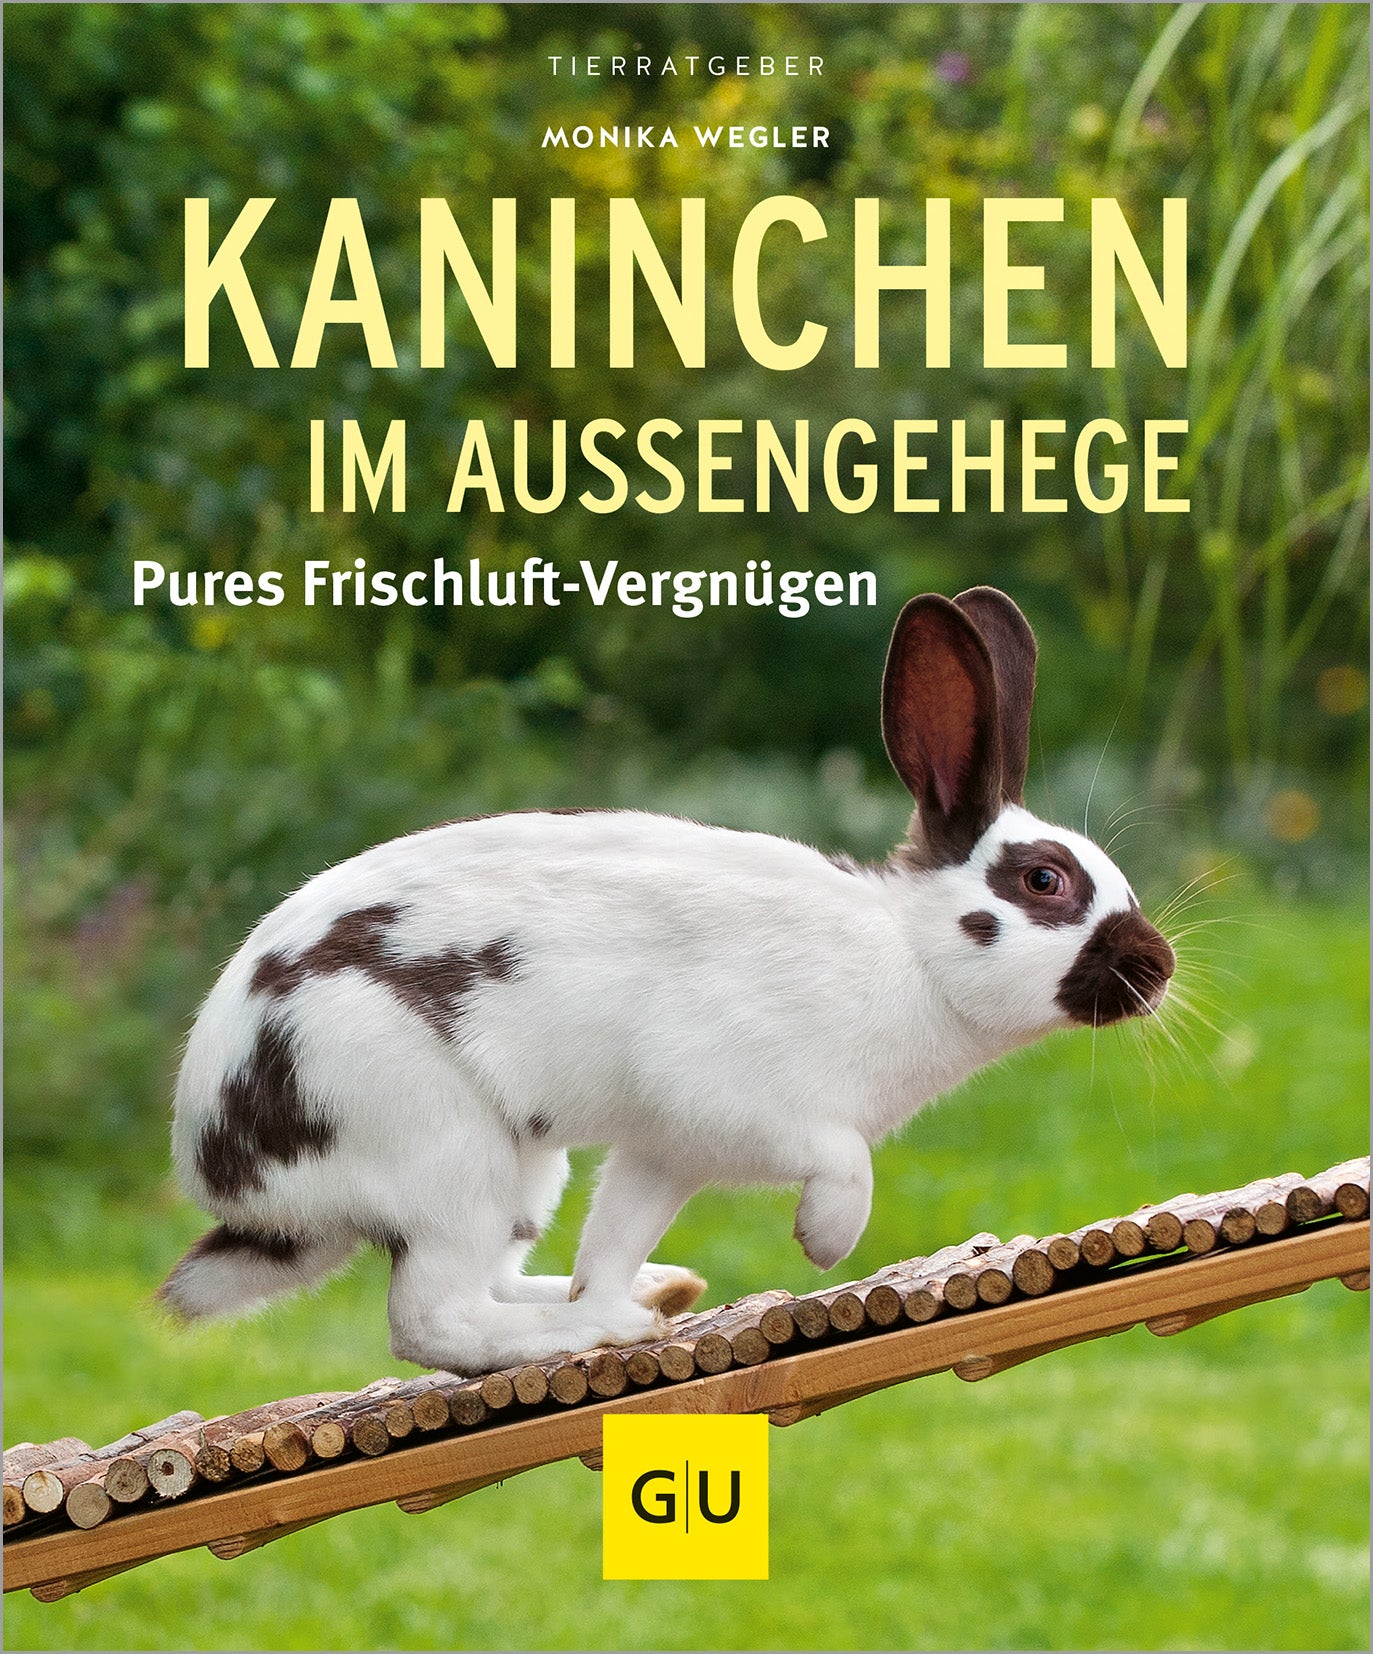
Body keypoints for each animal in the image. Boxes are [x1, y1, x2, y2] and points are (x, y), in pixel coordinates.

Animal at [160, 587, 1175, 1373]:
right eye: (1043, 882)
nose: (1156, 967)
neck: (910, 956)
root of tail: (226, 1168)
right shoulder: (733, 1098)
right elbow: (844, 1161)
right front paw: (825, 1240)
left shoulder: (662, 1149)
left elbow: (615, 1234)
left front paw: (631, 1286)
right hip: (435, 1141)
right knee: (432, 1320)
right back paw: (587, 1335)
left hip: (526, 1172)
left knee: (500, 1280)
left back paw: (646, 1298)